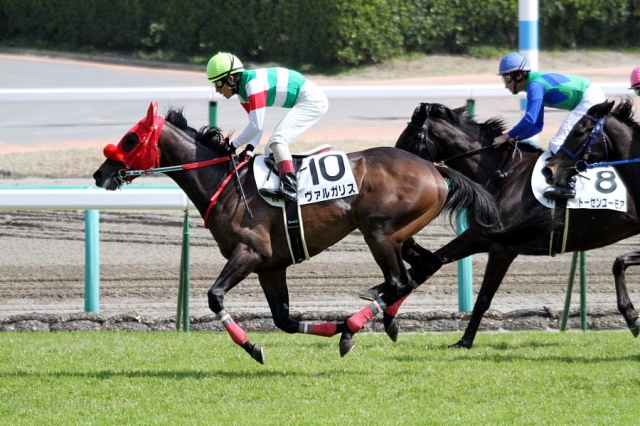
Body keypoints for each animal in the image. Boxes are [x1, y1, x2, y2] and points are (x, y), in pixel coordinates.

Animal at [92, 102, 500, 363]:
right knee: (422, 268)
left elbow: (214, 297)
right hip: (402, 234)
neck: (226, 184)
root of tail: (435, 168)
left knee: (400, 280)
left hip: (379, 233)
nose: (99, 174)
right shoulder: (270, 267)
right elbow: (285, 321)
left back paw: (359, 325)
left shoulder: (250, 253)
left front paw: (253, 348)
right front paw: (333, 328)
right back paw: (384, 320)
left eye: (129, 140)